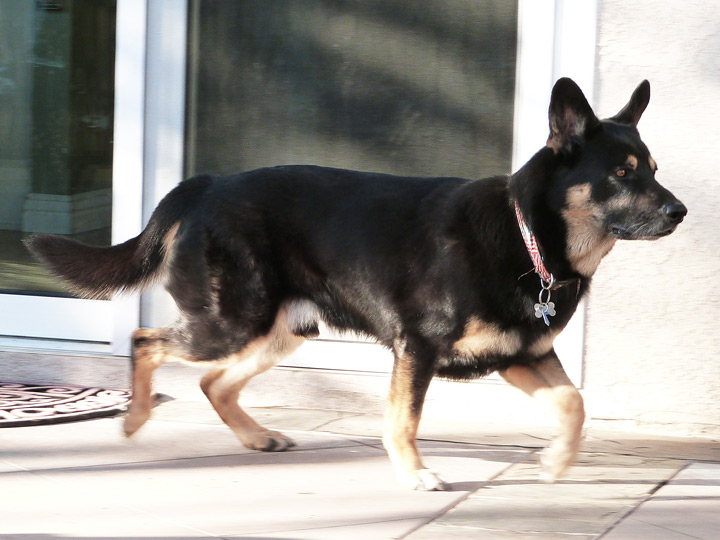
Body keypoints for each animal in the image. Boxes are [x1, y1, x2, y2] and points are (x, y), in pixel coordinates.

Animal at [26, 79, 688, 490]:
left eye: (653, 170)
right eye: (622, 174)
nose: (681, 212)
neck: (529, 233)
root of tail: (207, 183)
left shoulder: (520, 357)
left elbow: (575, 404)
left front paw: (553, 465)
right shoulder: (416, 350)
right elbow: (403, 421)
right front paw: (415, 473)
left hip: (280, 331)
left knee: (215, 382)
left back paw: (255, 437)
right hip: (231, 321)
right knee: (147, 341)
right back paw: (134, 420)